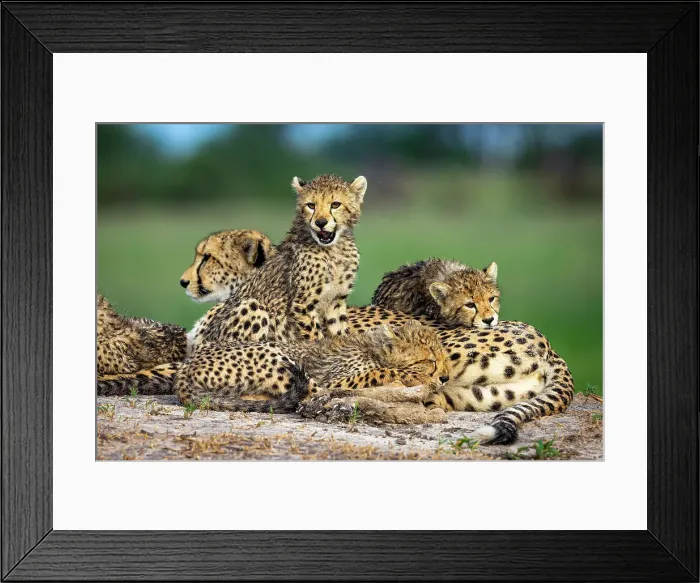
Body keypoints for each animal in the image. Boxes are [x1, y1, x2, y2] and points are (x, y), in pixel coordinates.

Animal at [173, 321, 449, 419]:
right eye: (432, 361)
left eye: (445, 359)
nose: (446, 377)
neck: (373, 348)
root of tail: (185, 369)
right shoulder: (338, 380)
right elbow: (380, 372)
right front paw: (419, 380)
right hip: (274, 354)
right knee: (310, 394)